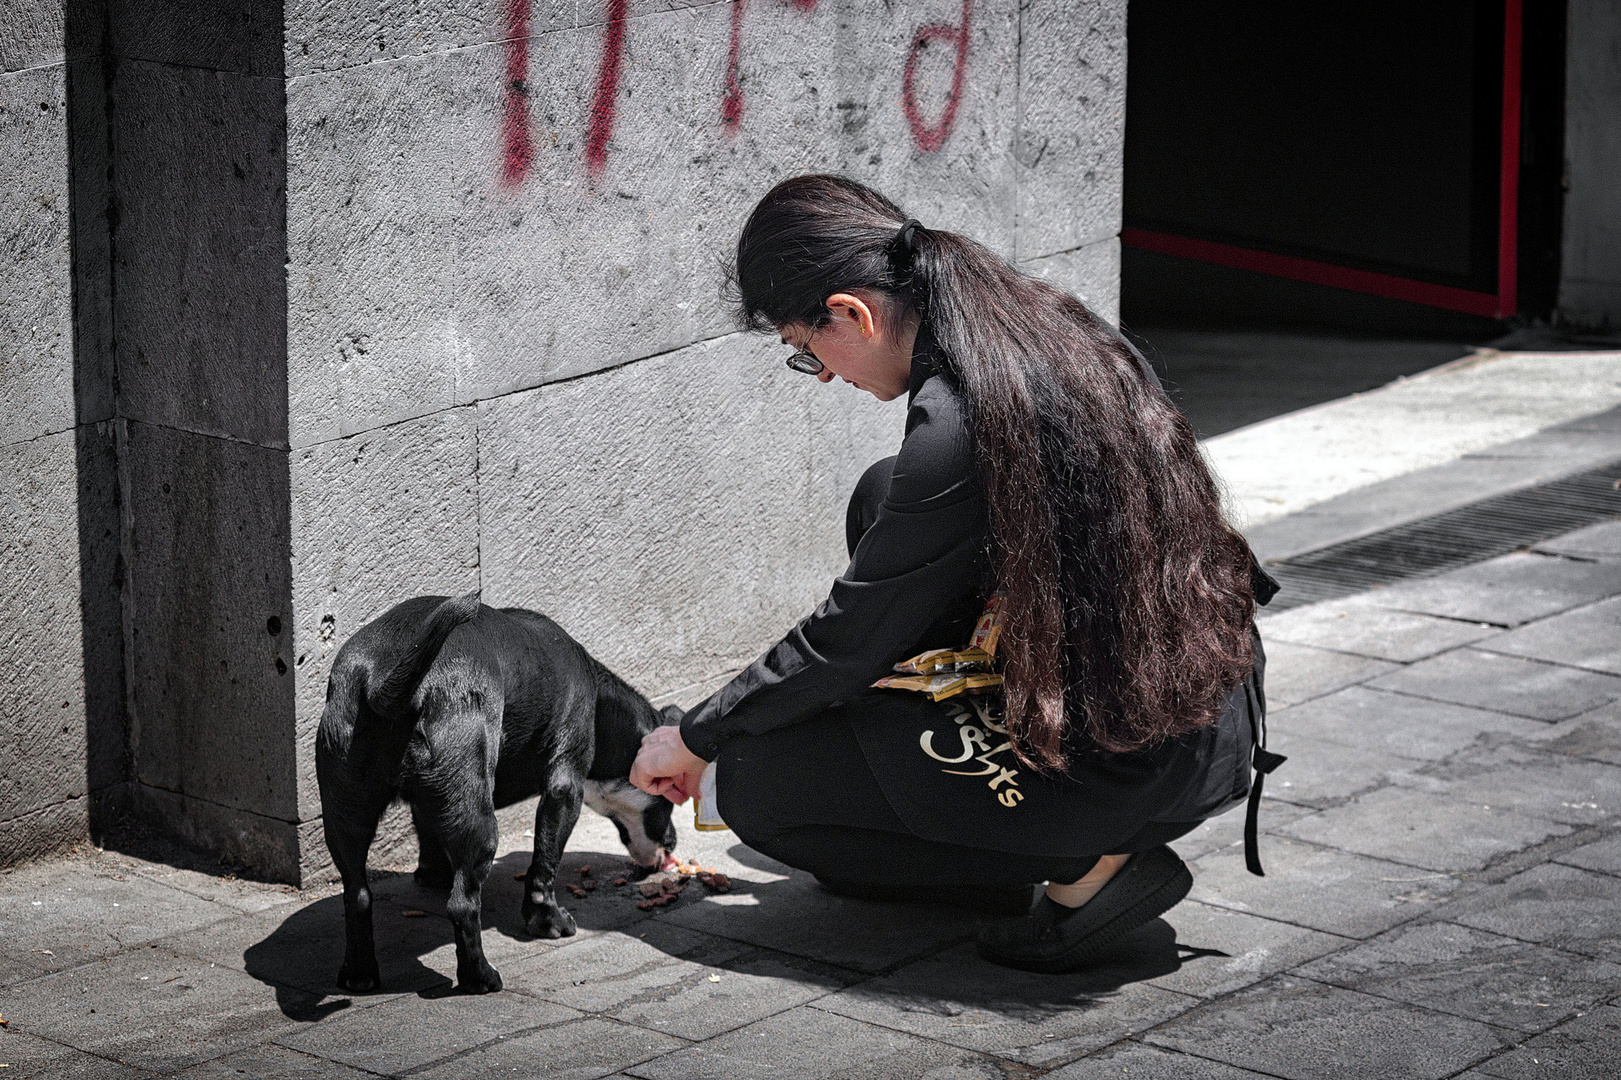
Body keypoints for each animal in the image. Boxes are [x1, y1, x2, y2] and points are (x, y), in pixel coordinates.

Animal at [316, 593, 677, 985]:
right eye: (669, 797)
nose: (673, 843)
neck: (601, 705)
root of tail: (381, 683)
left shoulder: (428, 804)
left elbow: (429, 834)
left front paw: (433, 874)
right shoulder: (565, 787)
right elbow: (544, 864)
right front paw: (547, 921)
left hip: (346, 816)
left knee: (357, 896)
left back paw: (359, 974)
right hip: (479, 820)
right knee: (462, 905)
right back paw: (480, 977)